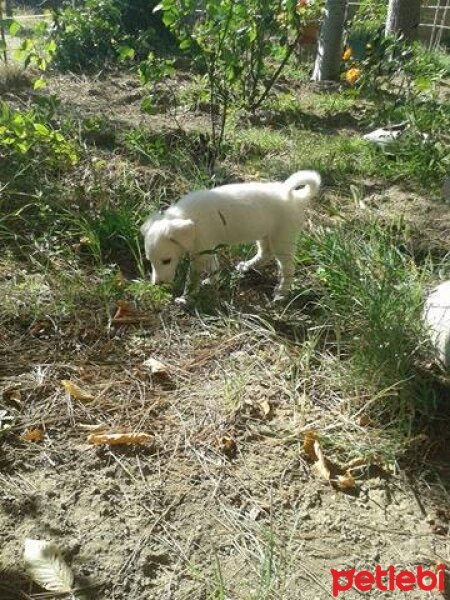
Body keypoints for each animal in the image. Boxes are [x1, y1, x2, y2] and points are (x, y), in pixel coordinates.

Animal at [141, 169, 320, 300]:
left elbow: (192, 279)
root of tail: (296, 198)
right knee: (265, 253)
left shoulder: (200, 253)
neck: (190, 219)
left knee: (288, 268)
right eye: (150, 261)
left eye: (167, 261)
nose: (157, 284)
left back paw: (282, 293)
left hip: (283, 239)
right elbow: (213, 267)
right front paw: (211, 281)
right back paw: (247, 266)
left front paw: (186, 298)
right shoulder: (206, 249)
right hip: (265, 234)